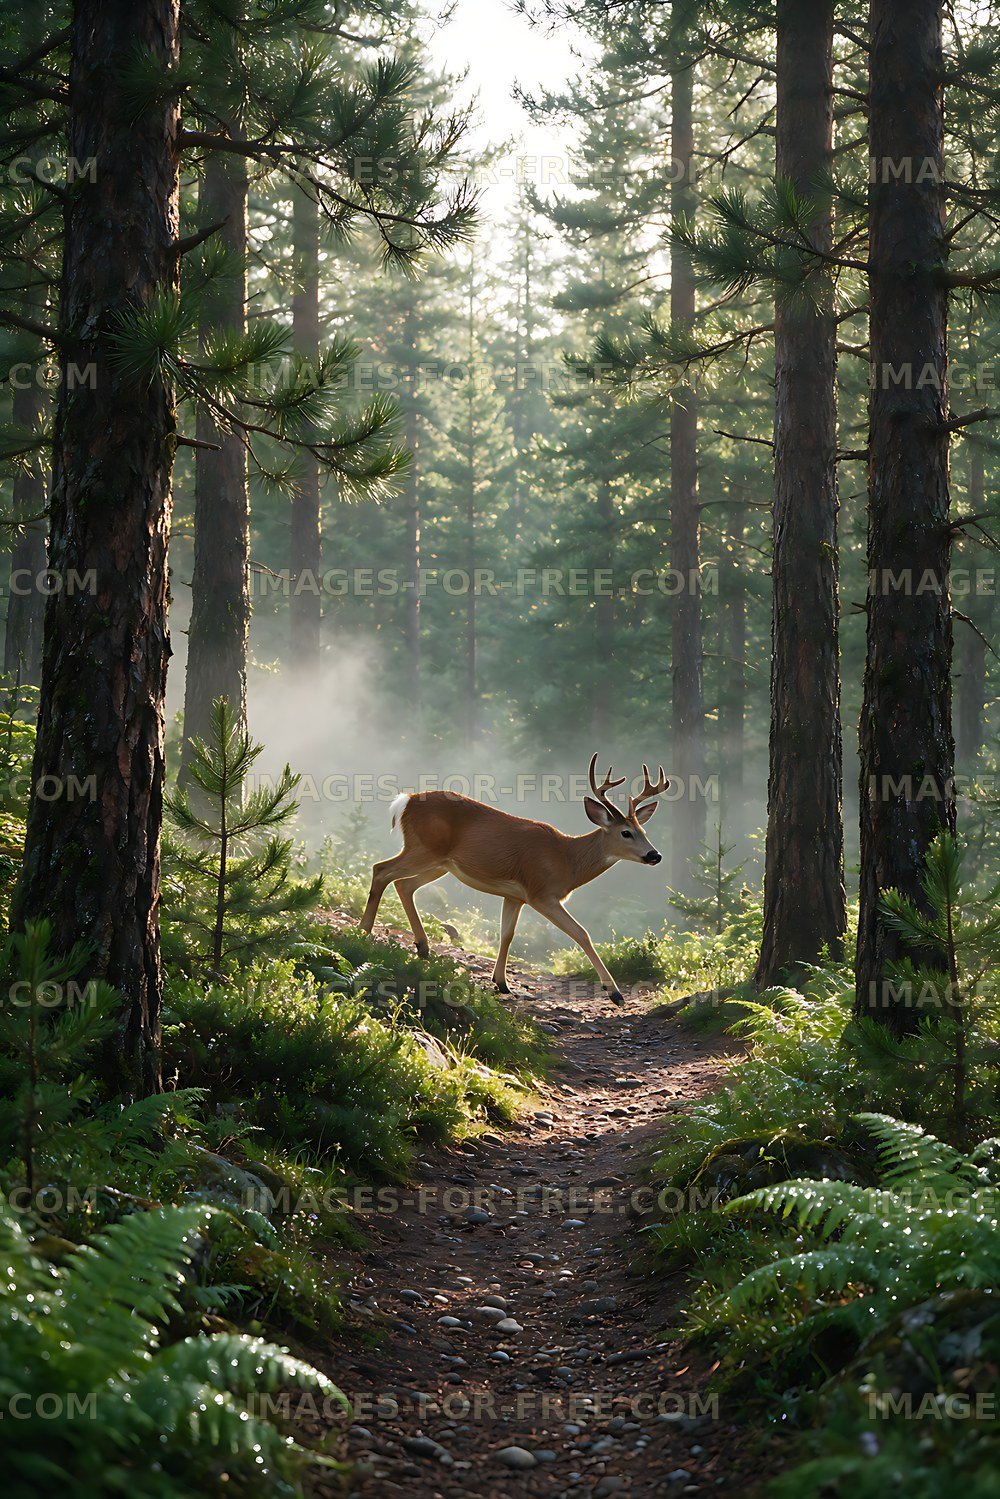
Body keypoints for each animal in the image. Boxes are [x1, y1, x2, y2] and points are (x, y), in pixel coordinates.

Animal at [358, 756, 669, 1006]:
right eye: (626, 833)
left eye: (644, 831)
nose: (655, 855)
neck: (567, 861)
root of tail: (406, 801)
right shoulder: (541, 893)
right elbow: (581, 933)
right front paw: (614, 993)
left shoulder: (515, 896)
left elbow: (507, 934)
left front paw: (501, 983)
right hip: (424, 849)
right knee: (381, 869)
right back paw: (364, 932)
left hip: (440, 864)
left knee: (403, 884)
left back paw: (422, 948)